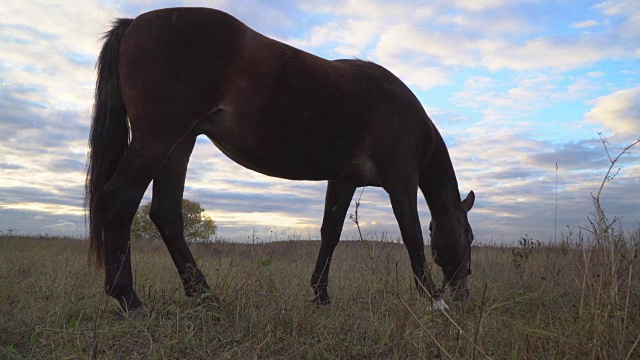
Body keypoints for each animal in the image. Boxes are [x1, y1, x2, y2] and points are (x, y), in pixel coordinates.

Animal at [85, 6, 476, 316]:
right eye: (469, 237)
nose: (464, 295)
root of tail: (135, 23)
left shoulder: (344, 180)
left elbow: (330, 233)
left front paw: (321, 295)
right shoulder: (401, 178)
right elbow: (411, 233)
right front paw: (433, 299)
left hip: (179, 144)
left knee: (166, 214)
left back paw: (205, 296)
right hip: (158, 138)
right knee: (120, 198)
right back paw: (130, 299)